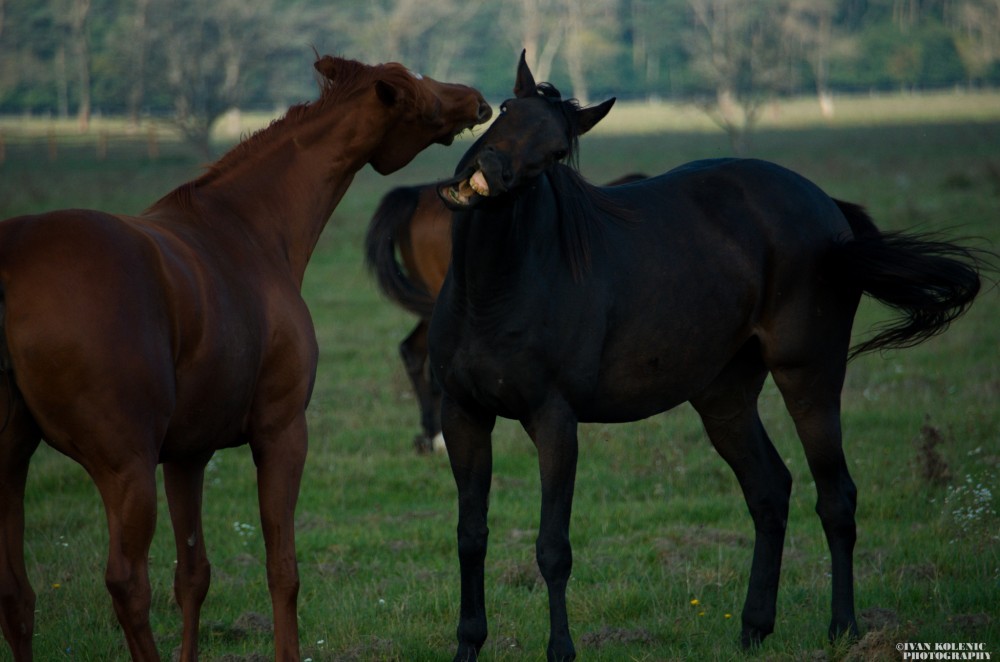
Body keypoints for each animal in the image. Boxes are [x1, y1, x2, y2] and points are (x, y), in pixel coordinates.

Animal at [0, 54, 488, 660]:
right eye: (420, 92)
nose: (476, 100)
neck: (245, 227)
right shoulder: (281, 434)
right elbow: (283, 570)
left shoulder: (187, 455)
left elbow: (193, 577)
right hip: (125, 469)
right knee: (126, 583)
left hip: (13, 462)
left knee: (17, 595)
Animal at [430, 49, 992, 660]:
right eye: (505, 110)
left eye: (556, 151)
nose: (487, 172)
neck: (495, 290)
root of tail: (829, 210)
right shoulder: (463, 416)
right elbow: (469, 537)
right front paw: (467, 645)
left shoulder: (554, 420)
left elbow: (553, 546)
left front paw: (561, 650)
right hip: (725, 397)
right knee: (770, 491)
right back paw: (753, 628)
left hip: (809, 377)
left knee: (836, 497)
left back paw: (843, 627)